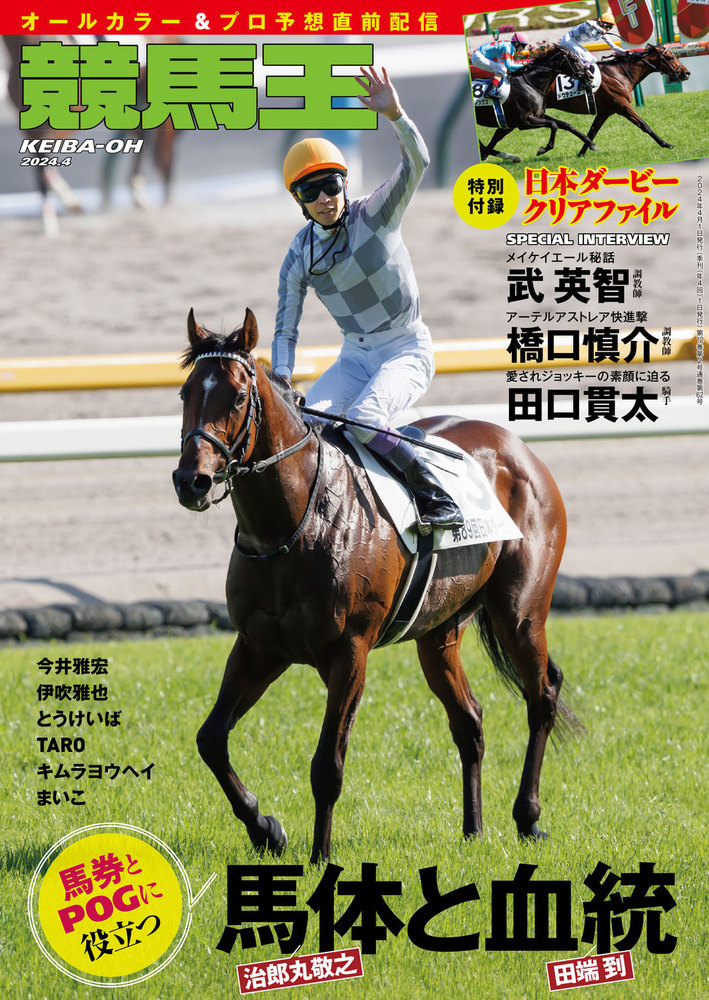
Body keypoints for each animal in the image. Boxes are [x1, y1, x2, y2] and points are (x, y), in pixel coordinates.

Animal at [2, 35, 178, 233]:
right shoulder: (30, 127)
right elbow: (43, 164)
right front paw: (64, 209)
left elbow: (44, 165)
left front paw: (52, 220)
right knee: (146, 139)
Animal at [172, 309, 581, 864]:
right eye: (186, 391)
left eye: (237, 396)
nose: (189, 480)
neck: (293, 525)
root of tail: (520, 449)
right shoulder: (259, 646)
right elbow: (211, 739)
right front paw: (266, 829)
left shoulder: (350, 651)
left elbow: (327, 766)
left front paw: (320, 857)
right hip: (438, 633)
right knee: (469, 720)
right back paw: (473, 828)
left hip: (519, 613)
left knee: (542, 695)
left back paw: (528, 817)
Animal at [543, 44, 690, 156]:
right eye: (670, 57)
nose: (686, 72)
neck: (619, 74)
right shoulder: (623, 106)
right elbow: (644, 125)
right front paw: (667, 144)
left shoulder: (605, 112)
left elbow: (592, 132)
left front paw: (582, 154)